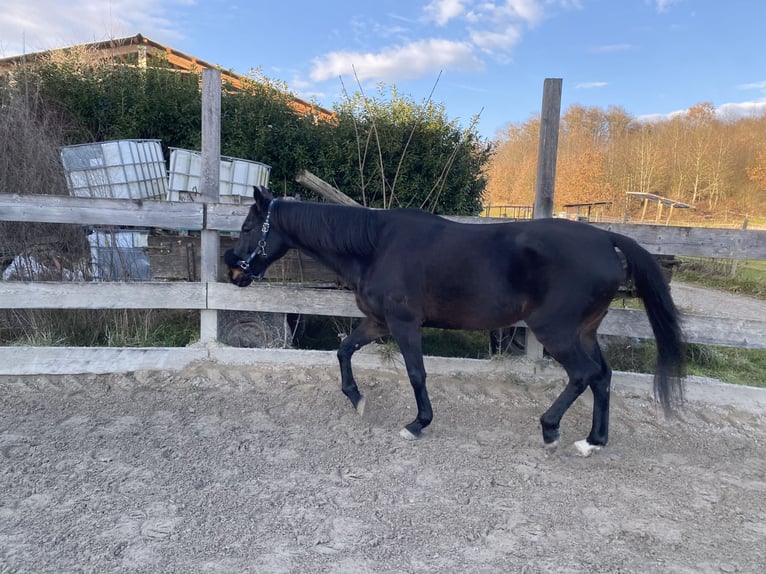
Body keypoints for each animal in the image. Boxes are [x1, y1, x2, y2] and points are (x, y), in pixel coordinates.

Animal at [225, 187, 688, 456]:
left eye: (248, 226)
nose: (233, 270)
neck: (376, 245)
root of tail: (607, 239)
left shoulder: (404, 324)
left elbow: (416, 373)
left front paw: (417, 424)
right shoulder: (378, 322)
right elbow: (343, 351)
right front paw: (357, 399)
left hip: (556, 332)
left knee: (583, 374)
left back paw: (550, 430)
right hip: (584, 331)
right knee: (602, 376)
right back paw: (592, 441)